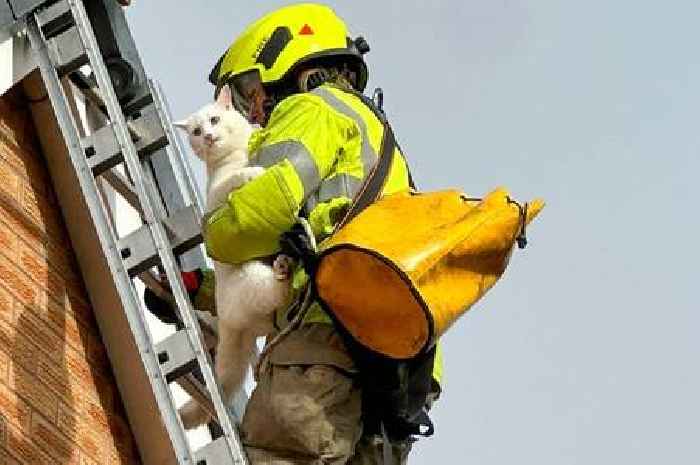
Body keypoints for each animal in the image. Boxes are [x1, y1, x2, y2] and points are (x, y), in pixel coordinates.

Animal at [178, 86, 296, 428]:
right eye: (196, 131)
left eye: (215, 120)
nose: (207, 136)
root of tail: (228, 322)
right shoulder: (218, 196)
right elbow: (238, 177)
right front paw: (253, 171)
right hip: (253, 279)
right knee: (276, 291)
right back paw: (285, 269)